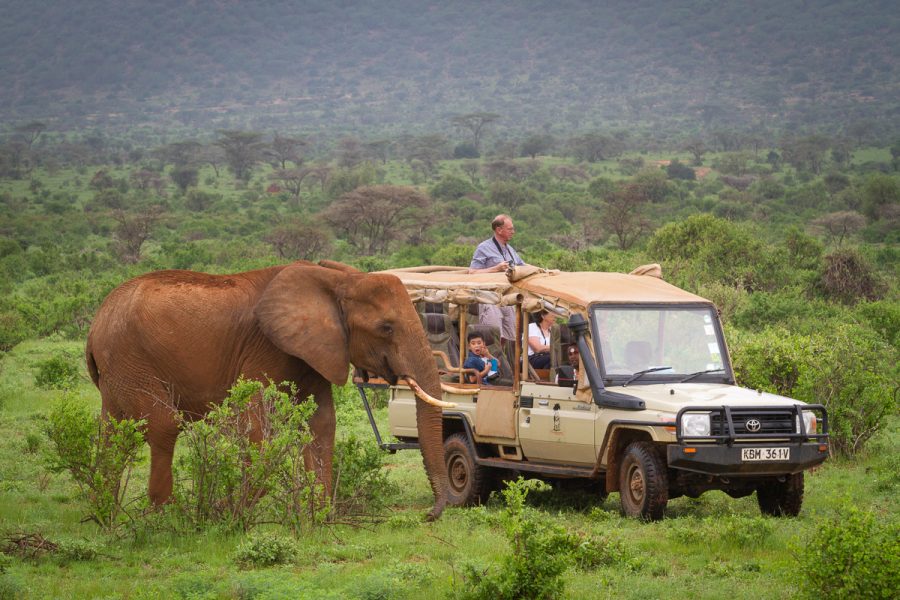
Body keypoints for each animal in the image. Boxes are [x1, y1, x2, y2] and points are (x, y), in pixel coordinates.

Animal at [88, 262, 454, 520]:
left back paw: (106, 512)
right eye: (386, 328)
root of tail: (96, 322)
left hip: (118, 368)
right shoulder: (266, 348)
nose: (429, 514)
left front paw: (319, 514)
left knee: (112, 432)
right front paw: (227, 511)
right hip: (130, 356)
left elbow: (322, 423)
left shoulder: (315, 351)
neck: (337, 281)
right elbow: (257, 424)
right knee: (164, 425)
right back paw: (165, 515)